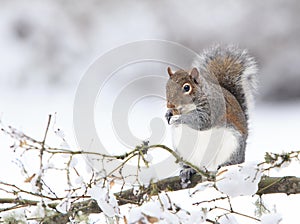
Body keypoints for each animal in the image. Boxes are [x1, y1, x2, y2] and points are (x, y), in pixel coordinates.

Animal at [165, 45, 256, 178]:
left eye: (187, 87)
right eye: (167, 86)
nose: (170, 104)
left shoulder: (213, 108)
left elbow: (202, 121)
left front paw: (178, 119)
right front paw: (168, 114)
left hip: (232, 146)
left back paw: (226, 165)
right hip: (182, 151)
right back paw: (188, 170)